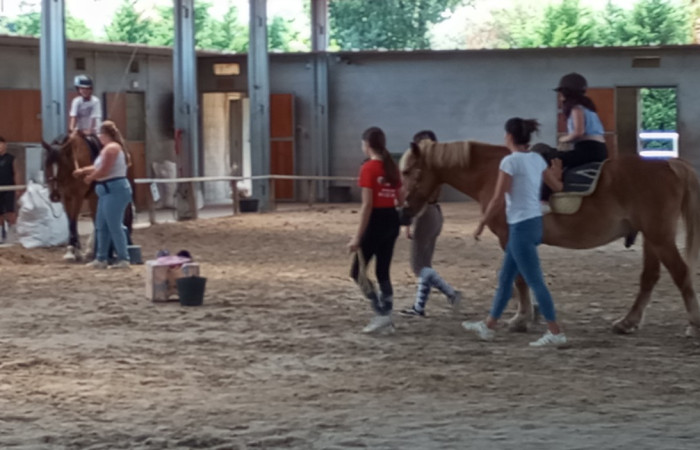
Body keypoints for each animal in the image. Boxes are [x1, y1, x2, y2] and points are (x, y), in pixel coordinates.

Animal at [399, 140, 700, 337]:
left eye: (407, 172)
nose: (402, 211)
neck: (495, 172)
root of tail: (667, 163)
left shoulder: (509, 237)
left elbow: (519, 277)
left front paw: (520, 319)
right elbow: (526, 276)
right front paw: (532, 312)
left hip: (660, 236)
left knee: (680, 273)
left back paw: (693, 324)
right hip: (652, 238)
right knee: (650, 277)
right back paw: (627, 322)